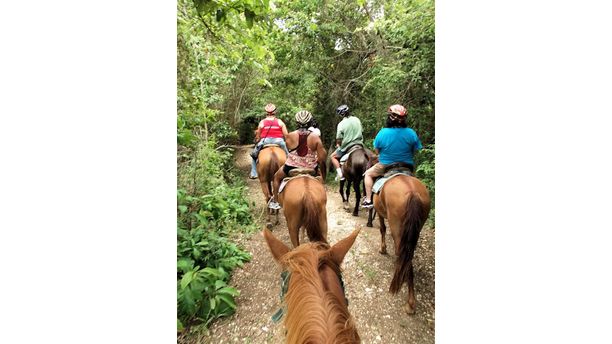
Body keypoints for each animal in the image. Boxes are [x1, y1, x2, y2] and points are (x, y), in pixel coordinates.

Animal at [372, 175, 430, 314]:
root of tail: (413, 192)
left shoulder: (380, 213)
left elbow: (382, 229)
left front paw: (383, 249)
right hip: (416, 229)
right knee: (407, 256)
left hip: (396, 225)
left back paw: (410, 303)